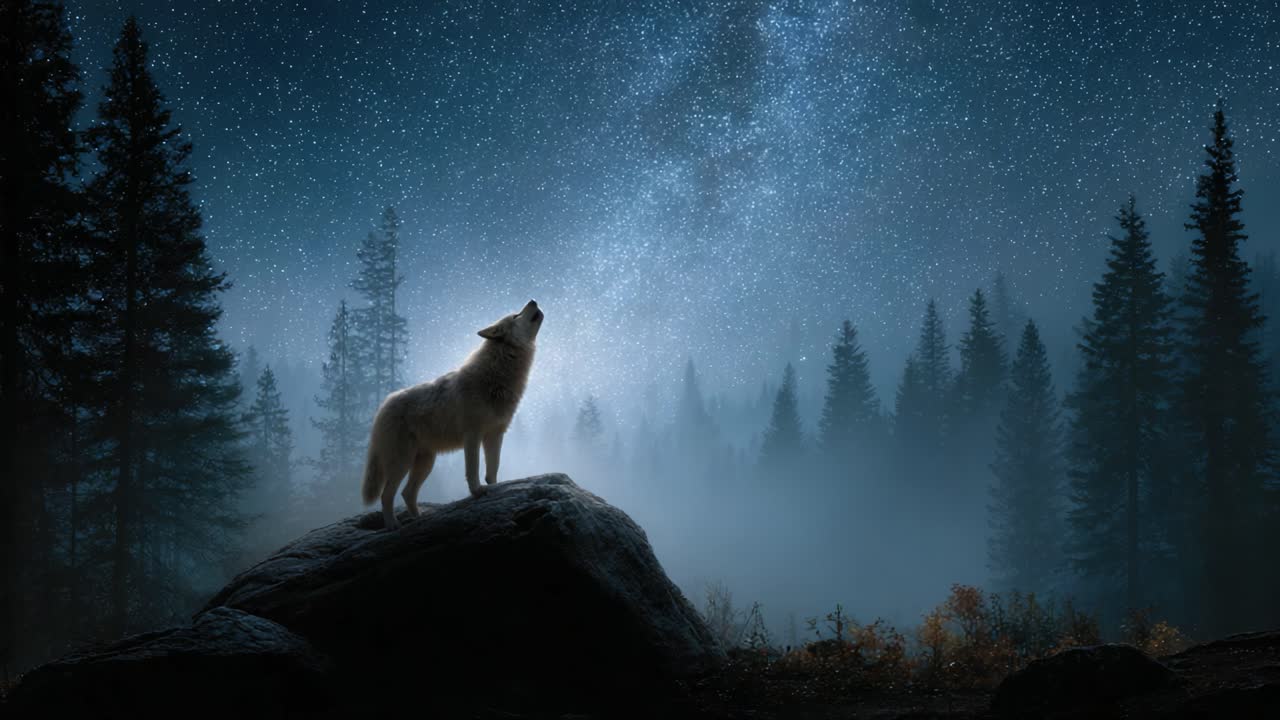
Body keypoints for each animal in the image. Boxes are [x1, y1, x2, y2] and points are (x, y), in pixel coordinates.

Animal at [360, 300, 543, 530]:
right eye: (515, 316)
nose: (533, 300)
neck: (495, 376)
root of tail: (382, 406)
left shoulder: (495, 435)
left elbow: (493, 469)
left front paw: (495, 489)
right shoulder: (472, 436)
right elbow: (473, 469)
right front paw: (477, 492)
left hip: (425, 463)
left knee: (407, 493)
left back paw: (419, 520)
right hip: (402, 462)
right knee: (387, 495)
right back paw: (393, 525)